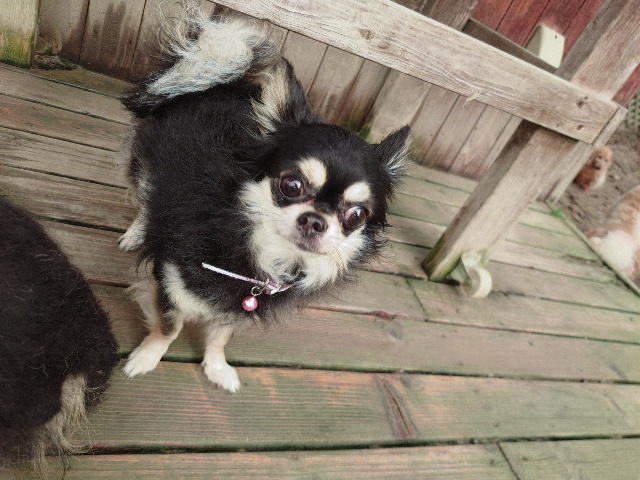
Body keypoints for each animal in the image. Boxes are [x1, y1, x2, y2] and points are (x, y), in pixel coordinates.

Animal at [119, 5, 411, 393]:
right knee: (145, 196)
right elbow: (169, 327)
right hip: (147, 167)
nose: (315, 220)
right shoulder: (169, 278)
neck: (259, 252)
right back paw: (138, 231)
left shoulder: (242, 305)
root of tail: (215, 80)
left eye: (357, 215)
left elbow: (220, 335)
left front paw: (216, 367)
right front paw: (147, 358)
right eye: (291, 185)